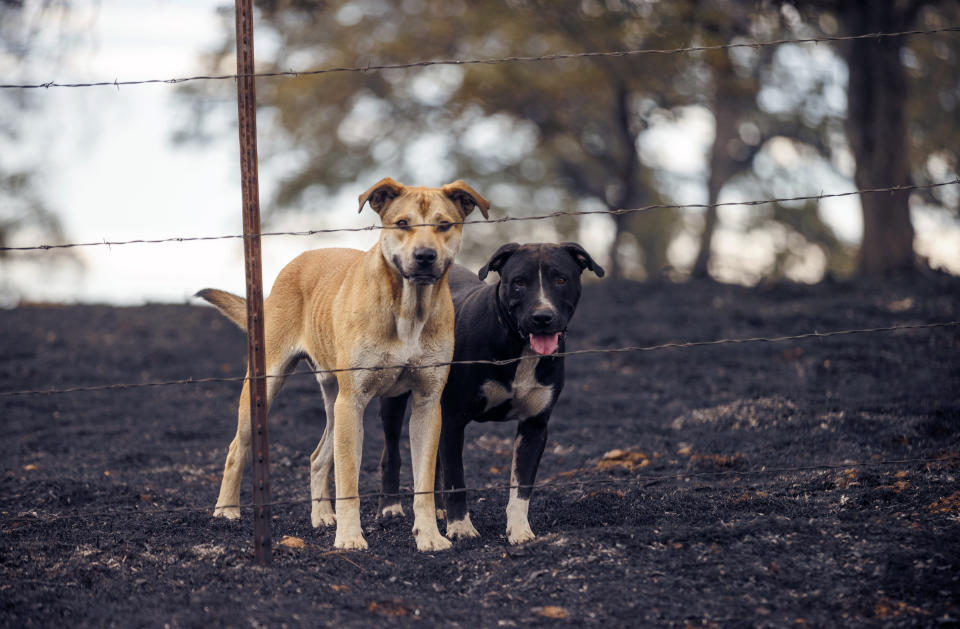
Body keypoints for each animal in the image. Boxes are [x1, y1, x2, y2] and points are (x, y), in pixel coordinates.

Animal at [200, 178, 492, 548]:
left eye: (444, 225)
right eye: (402, 223)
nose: (425, 256)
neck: (408, 309)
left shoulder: (427, 403)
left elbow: (424, 483)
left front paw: (429, 536)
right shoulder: (352, 401)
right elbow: (349, 480)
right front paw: (350, 538)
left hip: (332, 398)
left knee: (317, 457)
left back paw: (321, 516)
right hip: (269, 383)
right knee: (238, 446)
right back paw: (226, 510)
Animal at [376, 243, 600, 544]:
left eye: (561, 279)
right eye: (519, 282)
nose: (542, 317)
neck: (518, 347)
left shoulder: (534, 426)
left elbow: (521, 487)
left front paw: (519, 530)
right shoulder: (453, 419)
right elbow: (456, 479)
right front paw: (461, 527)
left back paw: (436, 509)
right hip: (394, 397)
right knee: (391, 451)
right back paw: (390, 508)